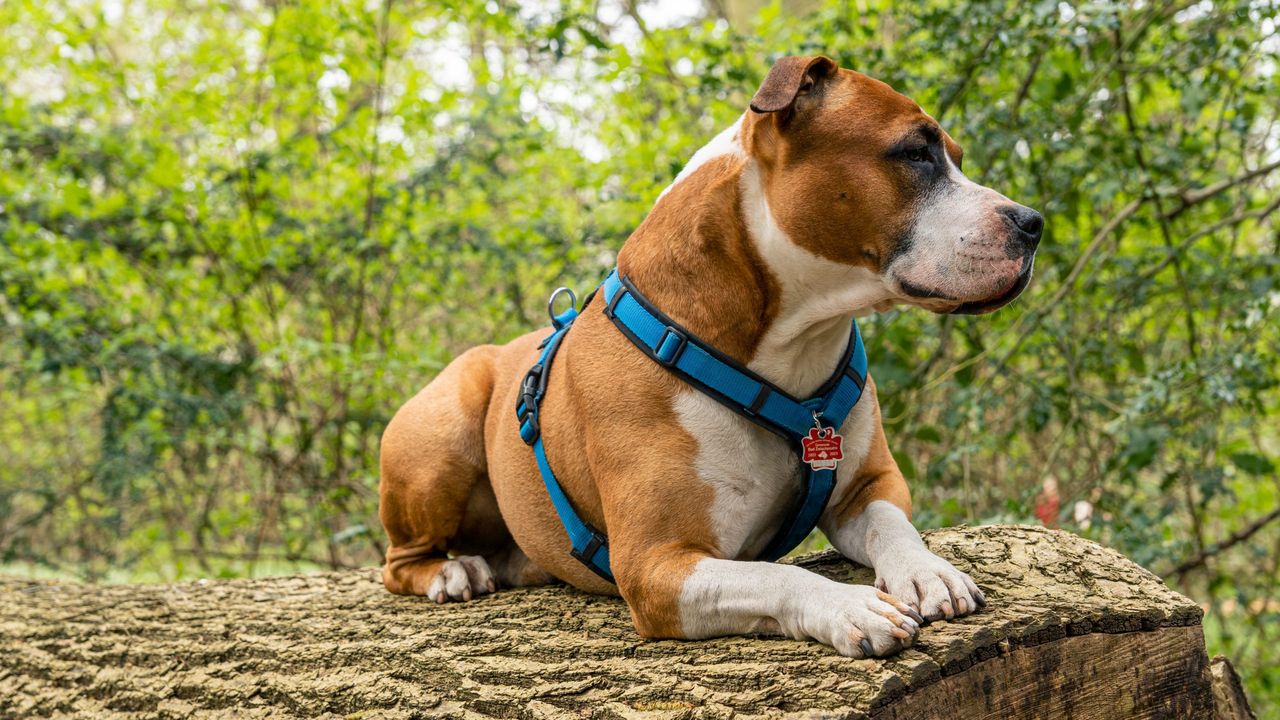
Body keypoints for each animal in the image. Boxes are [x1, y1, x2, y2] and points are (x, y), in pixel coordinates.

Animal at [376, 54, 1039, 655]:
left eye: (954, 156)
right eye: (915, 154)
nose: (1032, 222)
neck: (789, 344)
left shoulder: (867, 486)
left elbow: (892, 526)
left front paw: (928, 571)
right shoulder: (658, 567)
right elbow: (774, 574)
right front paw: (850, 606)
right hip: (444, 432)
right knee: (396, 561)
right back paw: (449, 571)